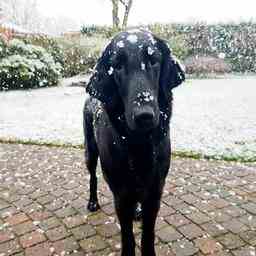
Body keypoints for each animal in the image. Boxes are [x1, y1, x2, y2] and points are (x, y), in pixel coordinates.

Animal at [83, 29, 185, 255]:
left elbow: (148, 235)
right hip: (90, 152)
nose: (144, 116)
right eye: (118, 66)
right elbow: (128, 238)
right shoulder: (120, 195)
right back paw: (93, 202)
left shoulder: (156, 190)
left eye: (154, 60)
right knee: (92, 176)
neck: (139, 144)